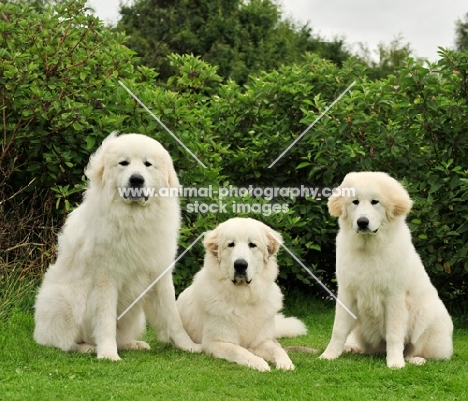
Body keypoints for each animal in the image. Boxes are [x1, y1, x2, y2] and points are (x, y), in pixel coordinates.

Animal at [33, 131, 199, 360]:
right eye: (124, 163)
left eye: (148, 164)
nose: (136, 179)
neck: (134, 218)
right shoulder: (106, 279)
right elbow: (105, 320)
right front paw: (108, 354)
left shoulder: (160, 274)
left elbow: (173, 318)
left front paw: (189, 346)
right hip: (66, 300)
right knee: (65, 342)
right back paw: (87, 347)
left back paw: (132, 344)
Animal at [176, 217, 308, 370]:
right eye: (231, 244)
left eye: (252, 245)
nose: (240, 265)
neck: (244, 297)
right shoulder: (215, 343)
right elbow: (239, 350)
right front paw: (259, 363)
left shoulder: (262, 341)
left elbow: (277, 349)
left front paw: (286, 363)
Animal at [322, 170, 454, 368]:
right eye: (355, 202)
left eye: (375, 202)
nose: (362, 222)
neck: (369, 250)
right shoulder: (347, 293)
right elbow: (338, 329)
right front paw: (328, 355)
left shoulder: (394, 297)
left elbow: (394, 334)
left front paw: (395, 363)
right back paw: (352, 348)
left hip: (429, 315)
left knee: (416, 348)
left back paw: (415, 359)